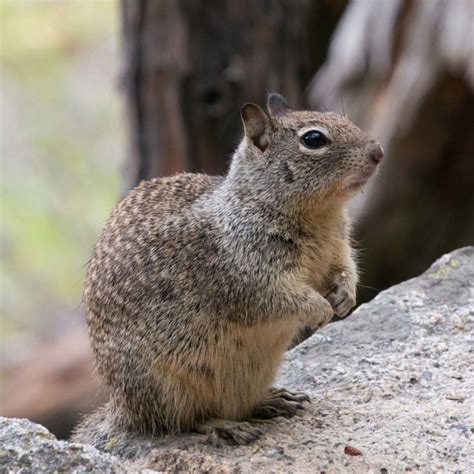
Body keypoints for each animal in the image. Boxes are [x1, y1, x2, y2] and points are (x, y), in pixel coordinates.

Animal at [72, 93, 384, 448]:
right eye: (314, 139)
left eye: (339, 116)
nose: (378, 151)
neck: (321, 216)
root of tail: (122, 411)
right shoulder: (249, 276)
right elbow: (283, 298)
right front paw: (320, 310)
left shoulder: (339, 248)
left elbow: (346, 269)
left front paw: (345, 297)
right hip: (167, 386)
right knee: (182, 421)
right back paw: (226, 426)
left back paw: (274, 400)